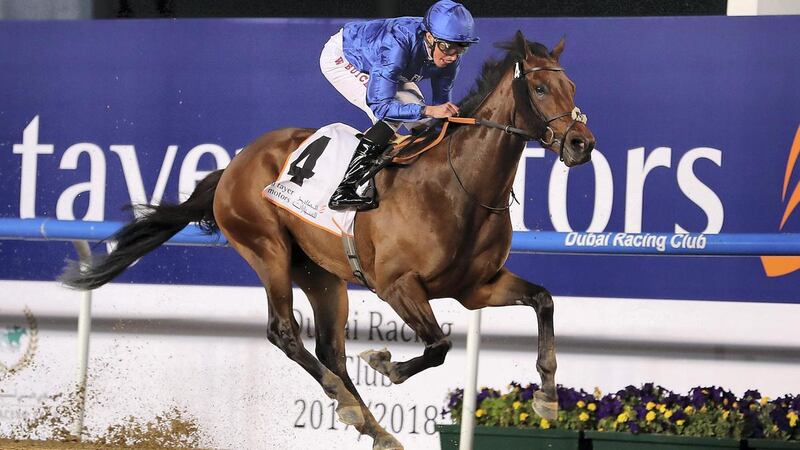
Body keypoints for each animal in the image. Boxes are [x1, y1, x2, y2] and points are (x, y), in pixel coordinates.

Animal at [61, 29, 592, 448]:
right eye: (540, 87)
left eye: (571, 86)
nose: (581, 143)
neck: (458, 186)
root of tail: (235, 164)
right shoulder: (397, 285)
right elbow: (439, 345)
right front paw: (385, 363)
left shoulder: (477, 287)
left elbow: (543, 300)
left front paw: (547, 397)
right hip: (267, 249)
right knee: (284, 332)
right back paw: (350, 404)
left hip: (321, 274)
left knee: (330, 351)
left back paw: (376, 428)